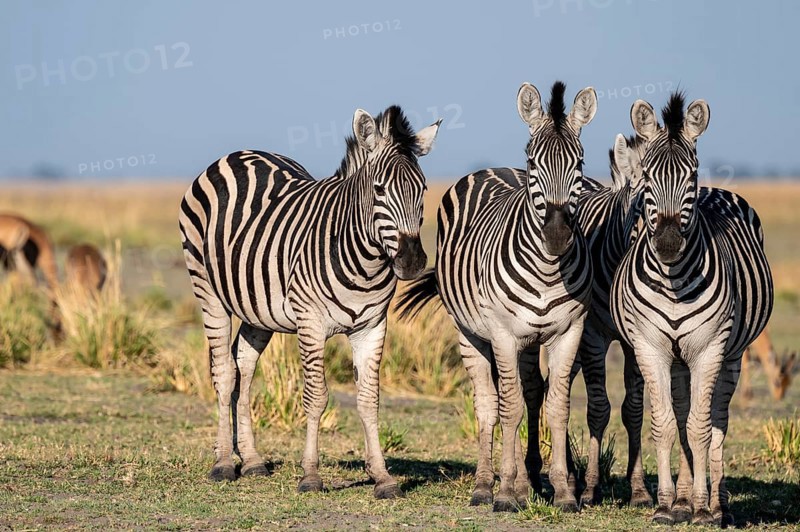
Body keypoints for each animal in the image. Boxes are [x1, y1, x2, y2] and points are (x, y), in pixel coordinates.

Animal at [179, 105, 440, 499]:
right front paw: (311, 475)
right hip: (208, 290)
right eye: (379, 189)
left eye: (423, 189)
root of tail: (237, 154)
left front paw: (382, 477)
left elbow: (369, 399)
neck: (364, 260)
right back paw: (223, 462)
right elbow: (316, 396)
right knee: (224, 372)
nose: (411, 262)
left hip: (257, 308)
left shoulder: (372, 326)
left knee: (244, 367)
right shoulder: (310, 323)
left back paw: (252, 461)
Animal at [397, 81, 596, 512]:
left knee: (529, 392)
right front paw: (504, 493)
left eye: (579, 163)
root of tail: (490, 169)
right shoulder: (503, 334)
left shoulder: (569, 331)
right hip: (470, 333)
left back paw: (526, 482)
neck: (548, 270)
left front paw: (563, 491)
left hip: (527, 341)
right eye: (534, 162)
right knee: (491, 404)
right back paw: (487, 485)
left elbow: (556, 406)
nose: (557, 236)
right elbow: (509, 407)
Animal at [610, 92, 773, 525]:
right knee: (682, 414)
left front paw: (701, 507)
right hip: (677, 359)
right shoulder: (649, 346)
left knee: (717, 421)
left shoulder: (709, 348)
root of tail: (720, 190)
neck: (673, 280)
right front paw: (668, 505)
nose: (667, 243)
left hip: (731, 355)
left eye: (691, 176)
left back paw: (715, 504)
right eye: (648, 177)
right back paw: (683, 499)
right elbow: (667, 425)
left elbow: (700, 428)